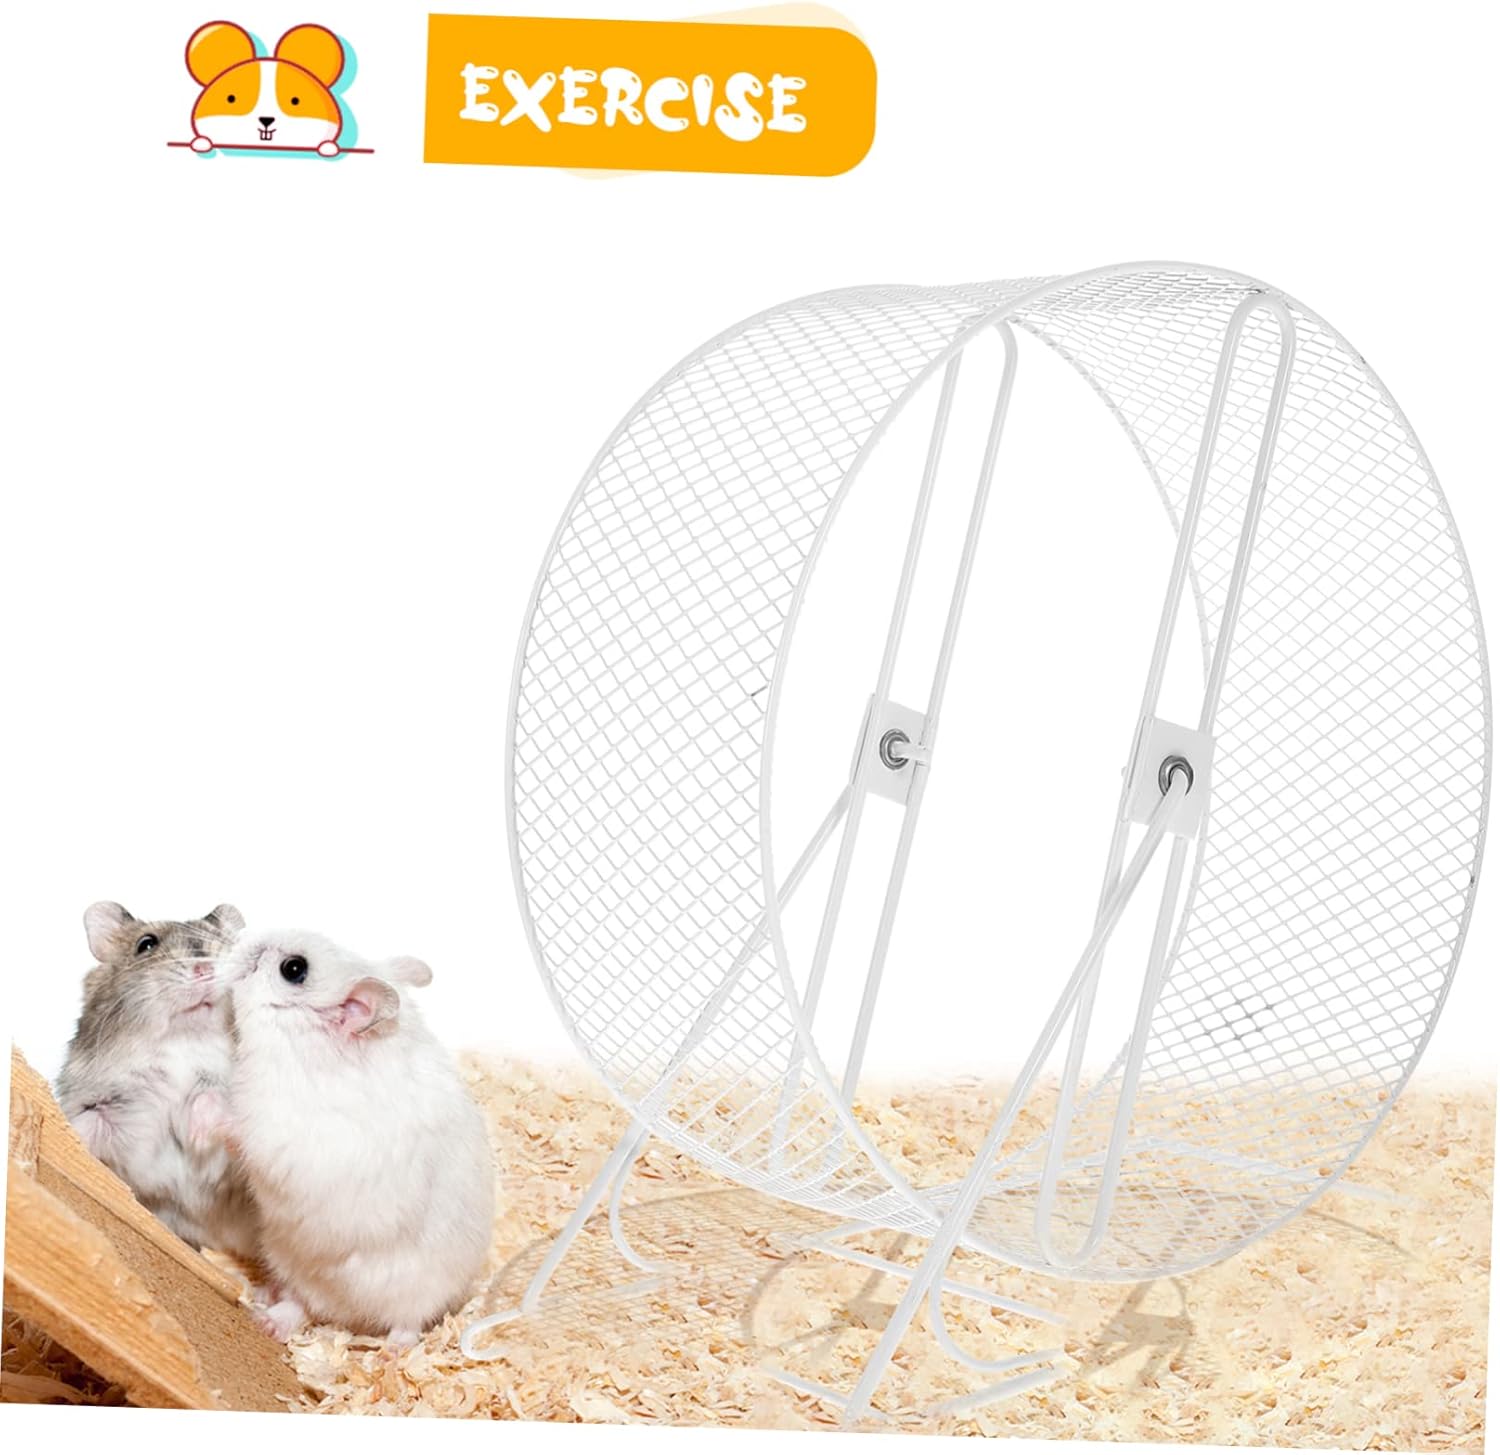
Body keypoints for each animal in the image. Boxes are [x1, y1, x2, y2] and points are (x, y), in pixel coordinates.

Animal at [56, 902, 259, 1259]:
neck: (184, 1042)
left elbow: (214, 1098)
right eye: (146, 944)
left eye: (228, 947)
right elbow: (90, 1122)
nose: (205, 968)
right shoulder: (107, 1104)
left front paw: (197, 1135)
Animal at [224, 928, 494, 1344]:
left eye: (294, 969)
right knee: (298, 1304)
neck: (304, 1047)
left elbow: (241, 1130)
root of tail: (349, 1315)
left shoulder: (287, 1137)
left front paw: (199, 1112)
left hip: (419, 1289)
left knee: (407, 1322)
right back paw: (266, 1316)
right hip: (288, 1259)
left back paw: (393, 1351)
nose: (245, 939)